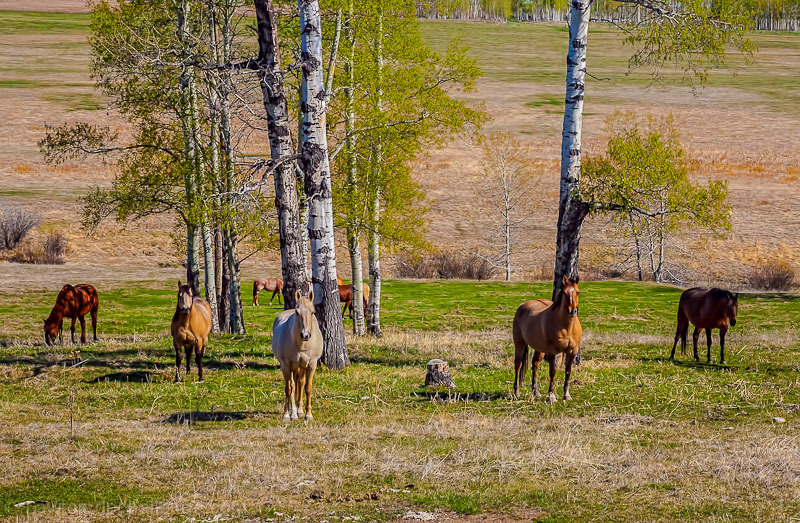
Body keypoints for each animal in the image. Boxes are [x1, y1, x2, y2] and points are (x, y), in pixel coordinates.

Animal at [272, 288, 322, 424]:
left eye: (313, 312)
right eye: (297, 312)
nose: (305, 335)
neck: (302, 344)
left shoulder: (311, 365)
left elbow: (307, 387)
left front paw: (308, 415)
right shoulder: (286, 366)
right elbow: (288, 388)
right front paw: (286, 415)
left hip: (301, 366)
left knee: (300, 383)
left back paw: (299, 411)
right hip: (293, 367)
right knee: (294, 385)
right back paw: (293, 412)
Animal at [512, 276, 580, 404]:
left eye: (577, 292)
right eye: (564, 292)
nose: (572, 311)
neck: (567, 327)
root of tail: (522, 306)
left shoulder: (572, 351)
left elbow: (568, 371)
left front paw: (566, 395)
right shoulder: (552, 352)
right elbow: (552, 372)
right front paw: (551, 396)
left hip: (540, 349)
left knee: (535, 364)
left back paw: (536, 392)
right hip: (520, 344)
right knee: (518, 365)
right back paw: (516, 392)